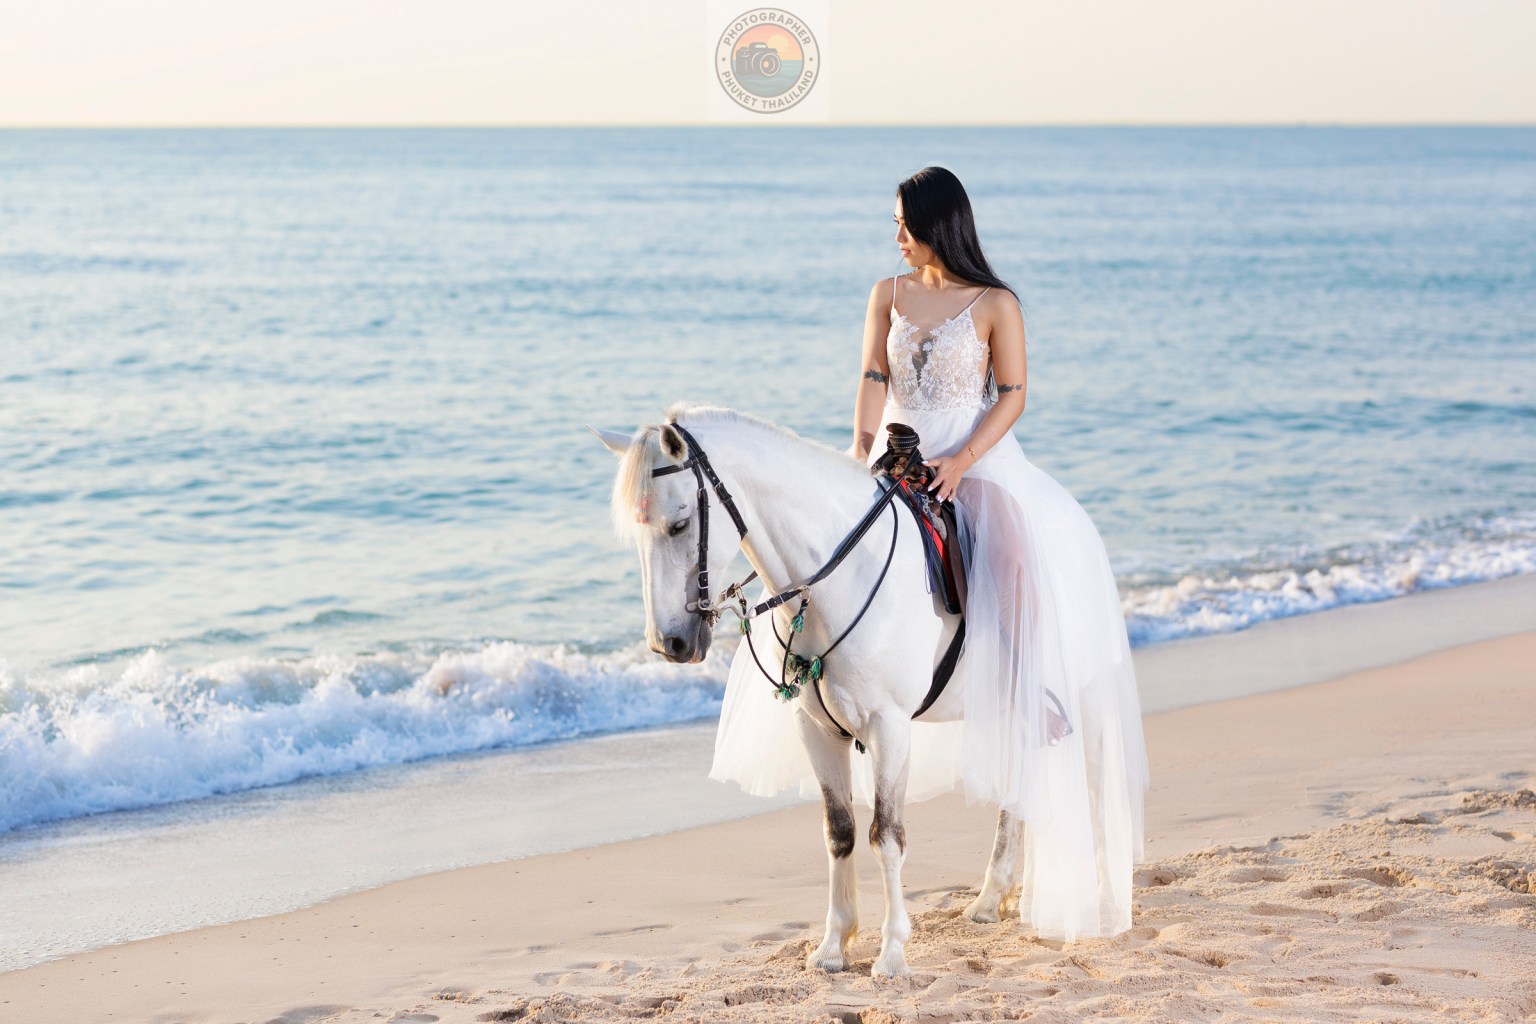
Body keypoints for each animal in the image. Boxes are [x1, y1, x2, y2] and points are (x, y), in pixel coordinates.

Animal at [592, 403, 1025, 979]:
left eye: (680, 523)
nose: (669, 644)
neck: (831, 583)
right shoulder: (818, 729)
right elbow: (839, 831)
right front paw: (834, 945)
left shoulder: (890, 729)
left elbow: (887, 836)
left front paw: (892, 953)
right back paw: (996, 896)